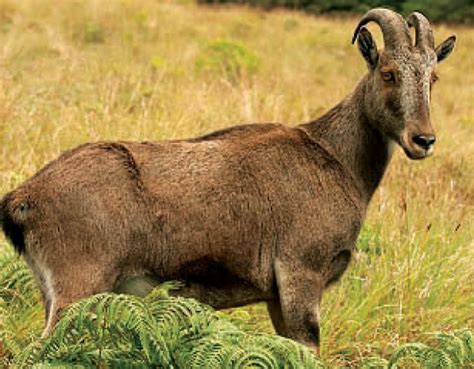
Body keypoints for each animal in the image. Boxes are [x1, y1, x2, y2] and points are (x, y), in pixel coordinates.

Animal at [0, 8, 456, 350]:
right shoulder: (301, 275)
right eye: (389, 73)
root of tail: (23, 199)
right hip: (78, 286)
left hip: (51, 291)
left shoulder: (277, 298)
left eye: (433, 77)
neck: (336, 158)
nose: (423, 140)